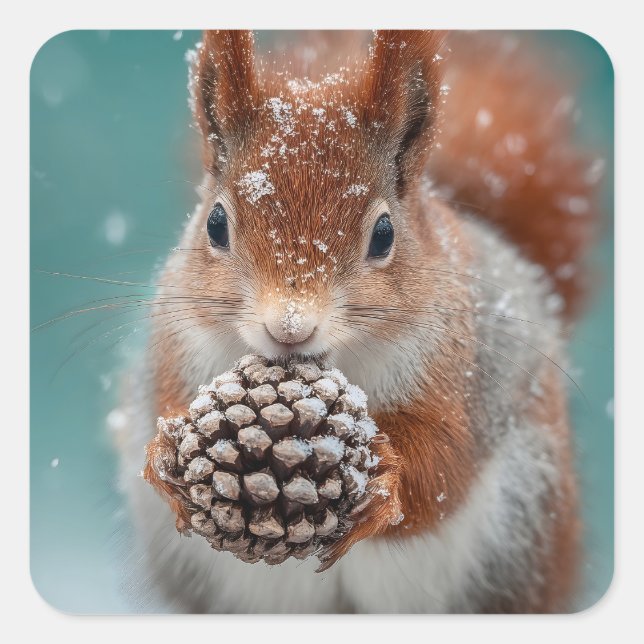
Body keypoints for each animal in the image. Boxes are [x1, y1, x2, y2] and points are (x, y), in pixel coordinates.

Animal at [115, 30, 602, 613]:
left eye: (384, 235)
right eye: (214, 224)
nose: (290, 328)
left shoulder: (463, 379)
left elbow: (445, 463)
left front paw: (388, 480)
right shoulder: (177, 346)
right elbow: (163, 403)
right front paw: (164, 455)